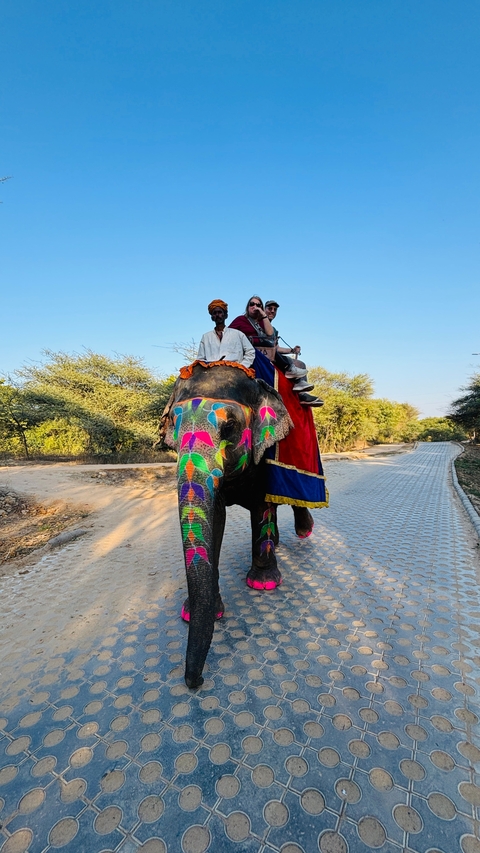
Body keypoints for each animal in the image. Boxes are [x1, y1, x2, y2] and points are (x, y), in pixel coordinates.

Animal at [163, 361, 315, 689]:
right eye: (173, 424)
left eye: (229, 427)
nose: (196, 681)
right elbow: (215, 516)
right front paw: (196, 613)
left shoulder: (267, 454)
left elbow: (263, 505)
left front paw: (264, 583)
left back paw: (304, 531)